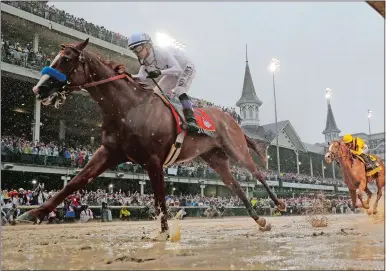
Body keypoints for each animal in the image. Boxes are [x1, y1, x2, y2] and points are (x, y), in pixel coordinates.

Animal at [17, 39, 284, 235]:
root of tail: (231, 119)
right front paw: (32, 213)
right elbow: (75, 182)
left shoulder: (154, 160)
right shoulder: (109, 152)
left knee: (258, 174)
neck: (128, 108)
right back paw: (260, 220)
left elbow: (159, 199)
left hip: (236, 150)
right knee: (236, 186)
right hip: (215, 159)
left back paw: (279, 203)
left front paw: (164, 234)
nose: (39, 88)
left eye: (66, 59)